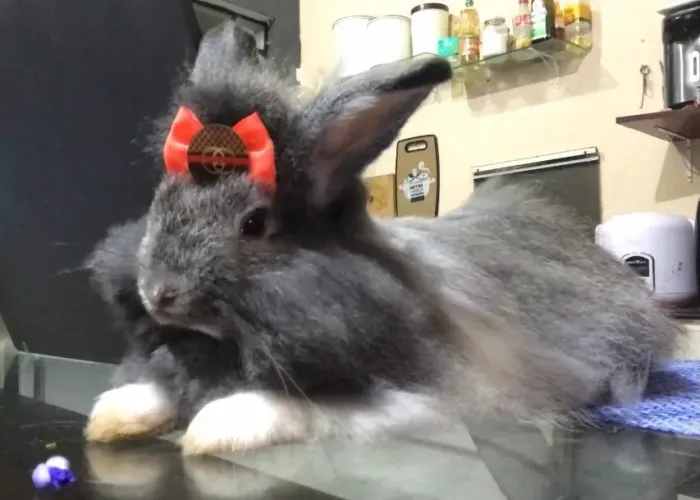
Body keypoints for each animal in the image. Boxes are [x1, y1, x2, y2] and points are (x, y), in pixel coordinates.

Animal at [84, 22, 684, 457]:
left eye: (254, 225)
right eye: (160, 200)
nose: (159, 295)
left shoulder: (442, 396)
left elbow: (304, 409)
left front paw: (217, 427)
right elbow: (152, 387)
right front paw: (112, 416)